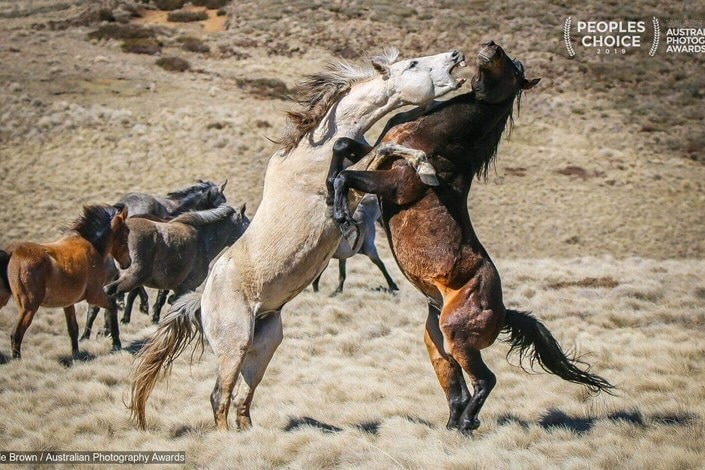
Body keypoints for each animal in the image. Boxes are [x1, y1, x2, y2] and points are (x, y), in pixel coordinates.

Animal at [0, 204, 129, 358]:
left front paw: (76, 355)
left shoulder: (68, 303)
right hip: (28, 307)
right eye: (126, 232)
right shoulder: (95, 295)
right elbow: (112, 308)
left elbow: (73, 329)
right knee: (16, 334)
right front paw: (116, 343)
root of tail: (11, 252)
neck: (93, 246)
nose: (128, 262)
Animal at [129, 46, 468, 430]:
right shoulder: (348, 178)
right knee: (220, 396)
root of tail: (201, 299)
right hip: (234, 345)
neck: (310, 152)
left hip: (264, 343)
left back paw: (249, 434)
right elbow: (372, 150)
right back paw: (227, 437)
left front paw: (425, 167)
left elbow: (387, 146)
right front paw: (419, 172)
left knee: (244, 396)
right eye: (412, 64)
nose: (455, 55)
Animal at [330, 42, 612, 436]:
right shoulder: (376, 153)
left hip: (457, 336)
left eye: (513, 67)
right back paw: (454, 426)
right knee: (458, 388)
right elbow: (343, 147)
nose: (490, 47)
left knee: (485, 380)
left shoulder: (395, 184)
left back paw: (466, 423)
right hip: (437, 342)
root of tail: (503, 311)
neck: (438, 138)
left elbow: (347, 177)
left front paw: (341, 215)